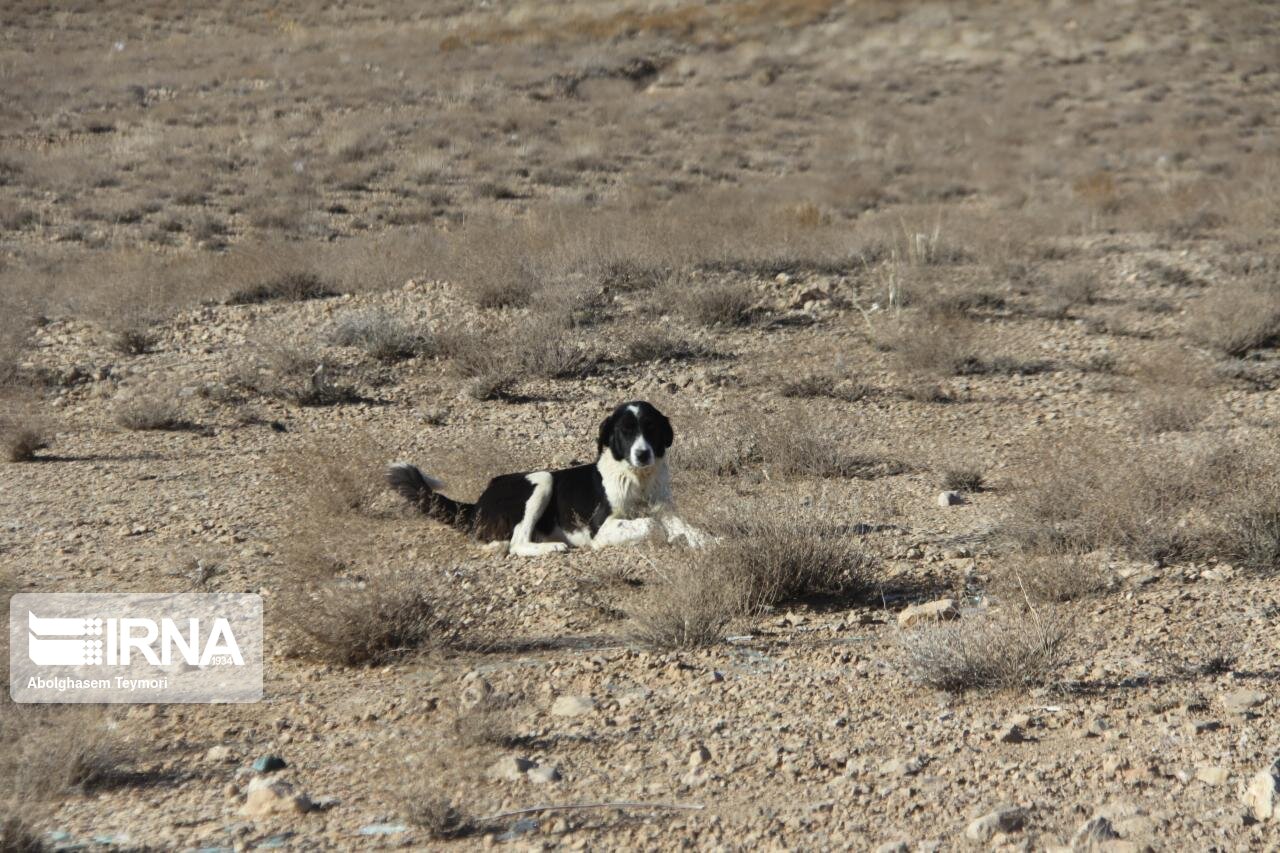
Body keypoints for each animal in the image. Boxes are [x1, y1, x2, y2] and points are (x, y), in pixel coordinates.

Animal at [384, 399, 706, 555]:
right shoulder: (601, 529)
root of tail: (478, 501)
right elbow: (650, 524)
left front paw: (704, 539)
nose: (642, 454)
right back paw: (552, 547)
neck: (637, 477)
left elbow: (685, 526)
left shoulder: (665, 507)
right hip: (541, 480)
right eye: (625, 432)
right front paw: (667, 536)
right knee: (516, 543)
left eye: (650, 428)